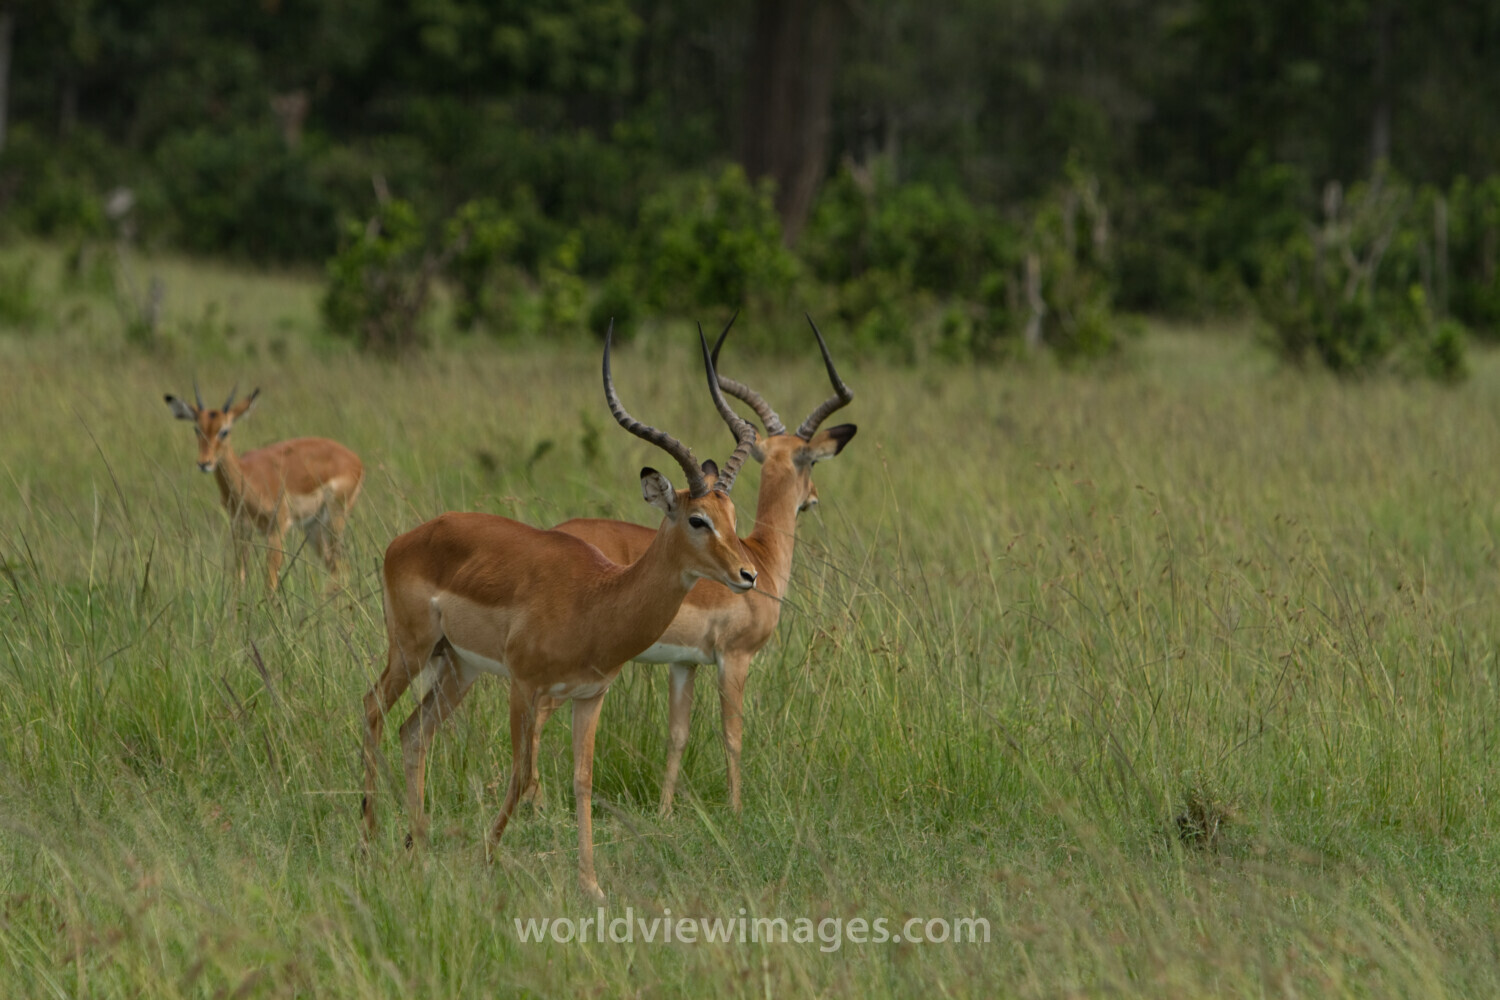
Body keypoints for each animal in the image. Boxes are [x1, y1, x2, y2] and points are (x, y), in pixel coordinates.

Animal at [164, 384, 364, 592]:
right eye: (197, 428)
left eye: (224, 430)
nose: (204, 463)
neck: (248, 478)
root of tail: (355, 459)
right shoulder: (240, 530)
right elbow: (239, 578)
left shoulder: (276, 531)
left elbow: (270, 585)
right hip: (312, 528)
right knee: (338, 567)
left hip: (333, 521)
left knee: (342, 569)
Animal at [361, 326, 761, 903]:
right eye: (697, 519)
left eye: (731, 514)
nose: (748, 574)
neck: (595, 601)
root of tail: (408, 538)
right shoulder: (524, 686)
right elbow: (522, 773)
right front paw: (488, 858)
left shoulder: (589, 697)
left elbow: (582, 780)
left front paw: (591, 885)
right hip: (411, 650)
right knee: (371, 710)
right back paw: (369, 842)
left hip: (458, 666)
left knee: (413, 732)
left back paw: (419, 848)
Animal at [541, 315, 856, 816]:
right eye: (811, 463)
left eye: (731, 516)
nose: (813, 499)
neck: (763, 556)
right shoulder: (734, 659)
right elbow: (733, 737)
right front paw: (737, 810)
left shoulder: (683, 663)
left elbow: (677, 735)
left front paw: (665, 811)